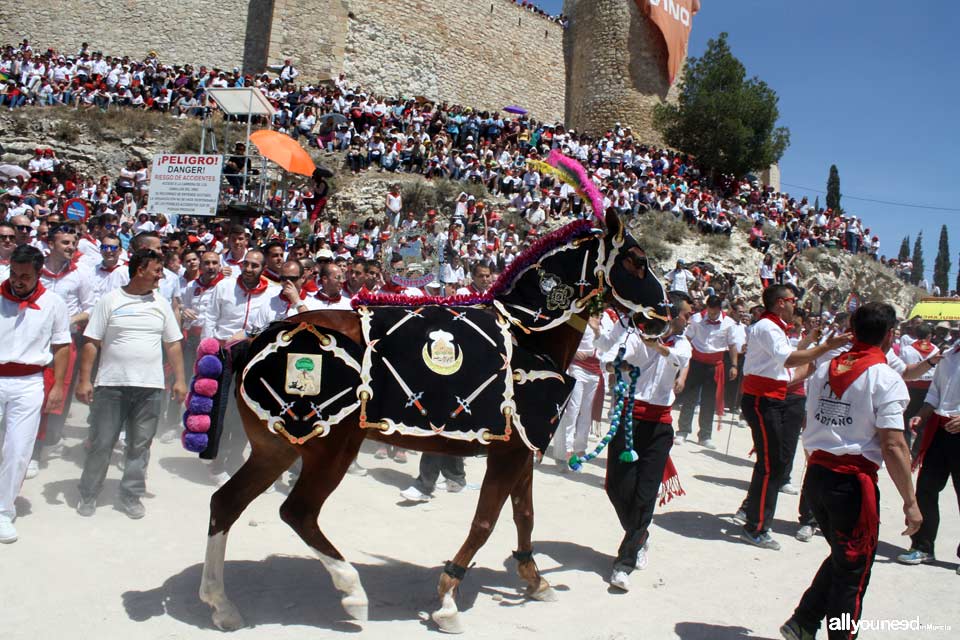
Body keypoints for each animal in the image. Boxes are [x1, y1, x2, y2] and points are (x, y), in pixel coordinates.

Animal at [188, 151, 668, 636]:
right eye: (637, 261)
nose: (664, 317)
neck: (527, 336)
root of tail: (257, 337)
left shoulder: (521, 449)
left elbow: (524, 516)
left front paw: (534, 579)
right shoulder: (507, 454)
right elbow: (485, 521)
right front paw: (449, 598)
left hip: (278, 447)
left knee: (225, 504)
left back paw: (220, 603)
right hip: (328, 448)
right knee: (297, 512)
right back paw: (351, 591)